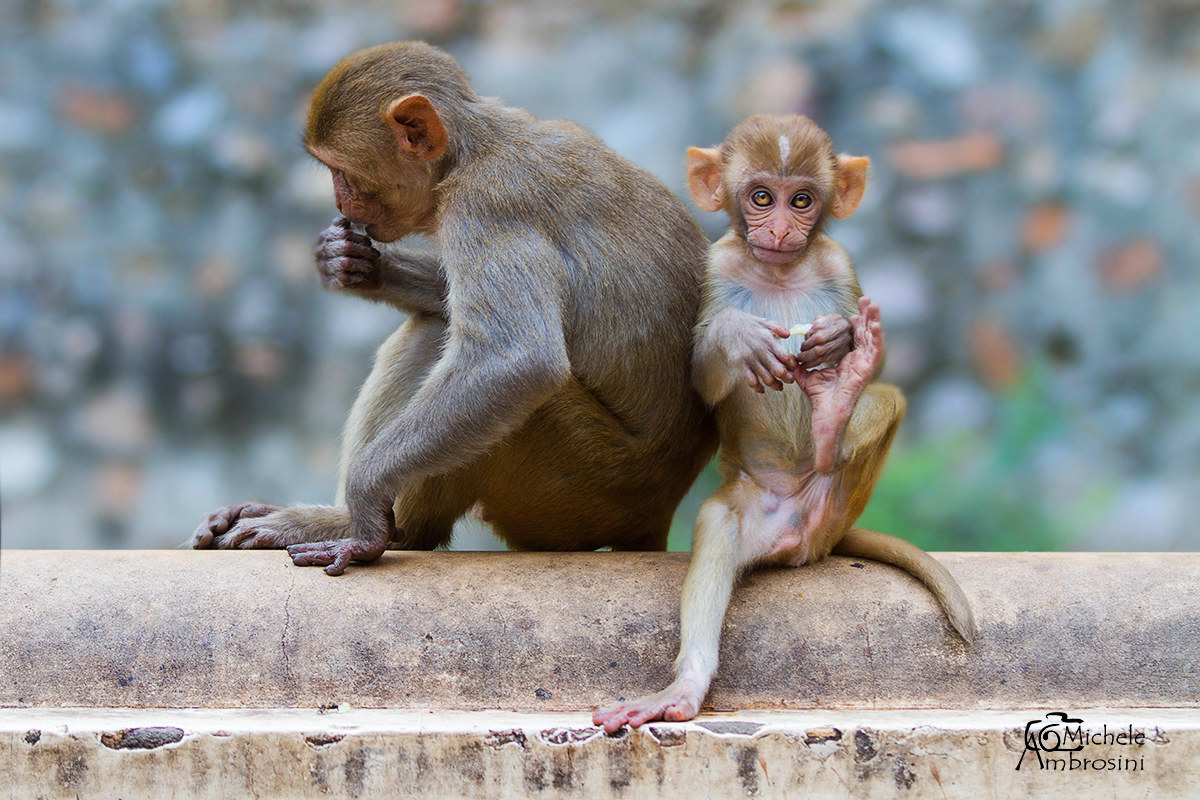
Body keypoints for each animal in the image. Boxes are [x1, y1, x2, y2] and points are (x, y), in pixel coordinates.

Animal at [192, 41, 717, 574]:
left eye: (341, 171)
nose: (339, 200)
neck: (472, 150)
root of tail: (659, 511)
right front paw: (355, 264)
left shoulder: (484, 206)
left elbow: (514, 360)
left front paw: (363, 517)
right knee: (434, 326)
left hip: (580, 483)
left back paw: (370, 529)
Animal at [594, 115, 977, 732]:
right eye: (760, 197)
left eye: (801, 200)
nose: (777, 227)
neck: (777, 272)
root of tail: (813, 540)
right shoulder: (713, 266)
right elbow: (699, 381)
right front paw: (737, 336)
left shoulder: (838, 262)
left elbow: (878, 361)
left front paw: (842, 341)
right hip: (754, 513)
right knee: (717, 524)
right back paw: (684, 690)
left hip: (841, 499)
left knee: (884, 398)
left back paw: (832, 422)